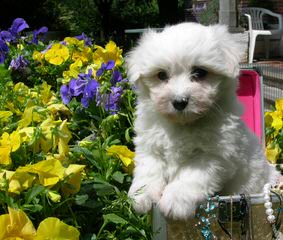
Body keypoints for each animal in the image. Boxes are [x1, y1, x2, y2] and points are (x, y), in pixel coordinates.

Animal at [126, 22, 278, 219]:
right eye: (161, 75)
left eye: (199, 72)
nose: (179, 101)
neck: (183, 124)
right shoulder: (149, 146)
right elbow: (149, 169)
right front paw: (141, 195)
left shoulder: (214, 155)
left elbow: (190, 176)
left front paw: (175, 199)